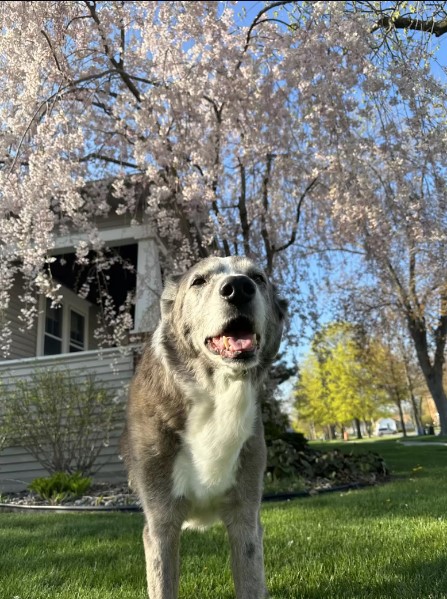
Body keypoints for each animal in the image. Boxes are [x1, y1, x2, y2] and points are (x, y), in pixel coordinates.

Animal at [121, 255, 288, 596]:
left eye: (258, 278)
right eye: (198, 281)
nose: (239, 287)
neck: (217, 394)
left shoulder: (246, 518)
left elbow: (251, 581)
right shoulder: (160, 525)